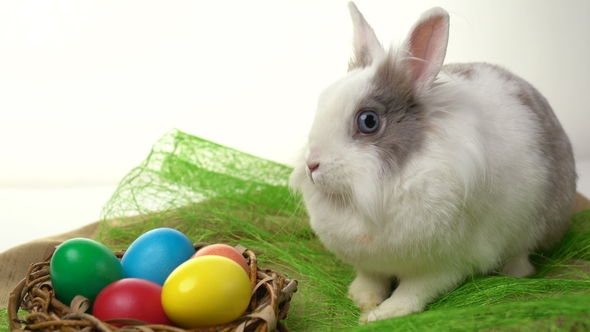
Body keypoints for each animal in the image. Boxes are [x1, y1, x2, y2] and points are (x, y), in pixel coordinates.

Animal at [290, 0, 580, 324]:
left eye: (368, 121)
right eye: (322, 100)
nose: (312, 165)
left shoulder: (445, 264)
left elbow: (413, 292)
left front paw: (380, 315)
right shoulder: (369, 261)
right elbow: (371, 277)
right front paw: (363, 299)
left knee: (522, 256)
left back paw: (514, 273)